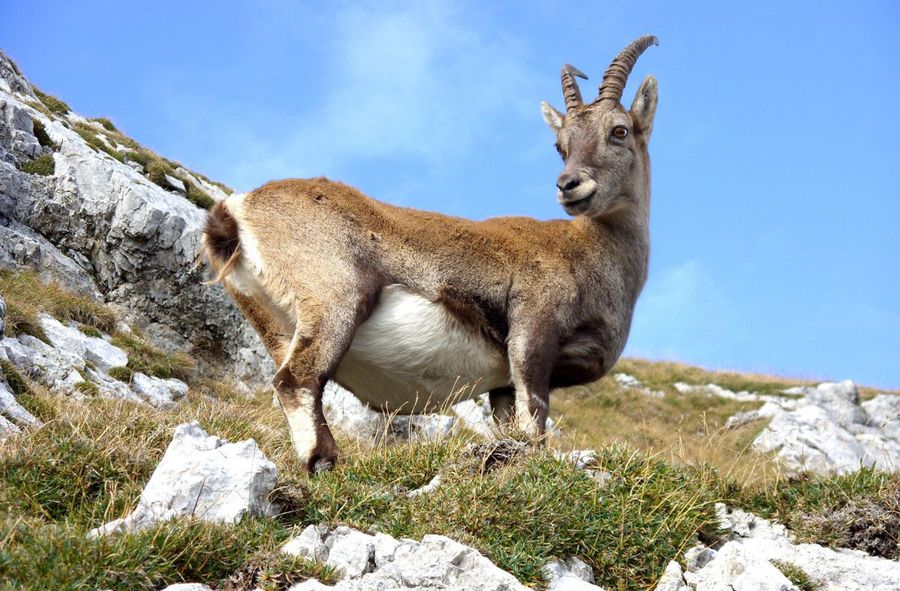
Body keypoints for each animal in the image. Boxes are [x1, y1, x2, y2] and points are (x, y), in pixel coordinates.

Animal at [204, 35, 656, 472]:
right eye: (560, 145)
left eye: (619, 131)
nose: (569, 185)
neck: (592, 254)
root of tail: (237, 209)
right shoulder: (533, 331)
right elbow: (535, 417)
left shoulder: (502, 383)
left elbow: (510, 424)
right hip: (336, 297)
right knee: (297, 379)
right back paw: (326, 462)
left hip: (273, 323)